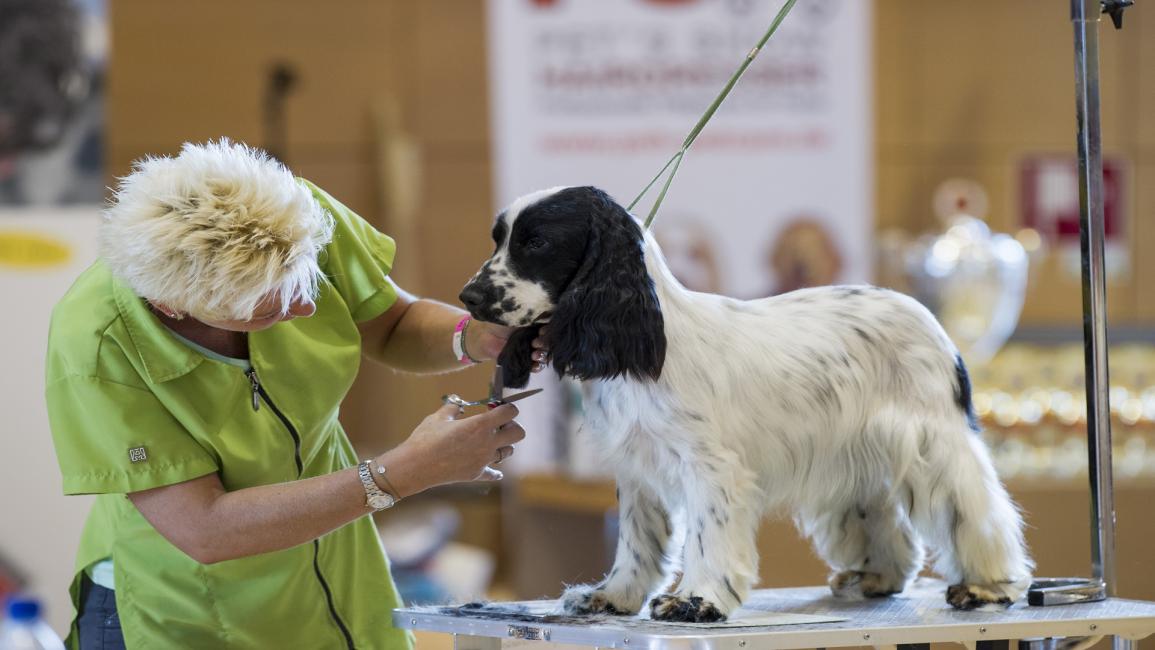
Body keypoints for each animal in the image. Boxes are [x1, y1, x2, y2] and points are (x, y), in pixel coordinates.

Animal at [455, 185, 1034, 623]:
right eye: (498, 240)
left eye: (537, 242)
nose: (469, 297)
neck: (649, 337)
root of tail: (929, 320)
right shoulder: (639, 467)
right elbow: (637, 542)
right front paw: (614, 596)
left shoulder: (711, 467)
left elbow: (708, 535)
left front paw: (697, 599)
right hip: (858, 457)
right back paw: (877, 576)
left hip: (934, 444)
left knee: (978, 512)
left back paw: (989, 585)